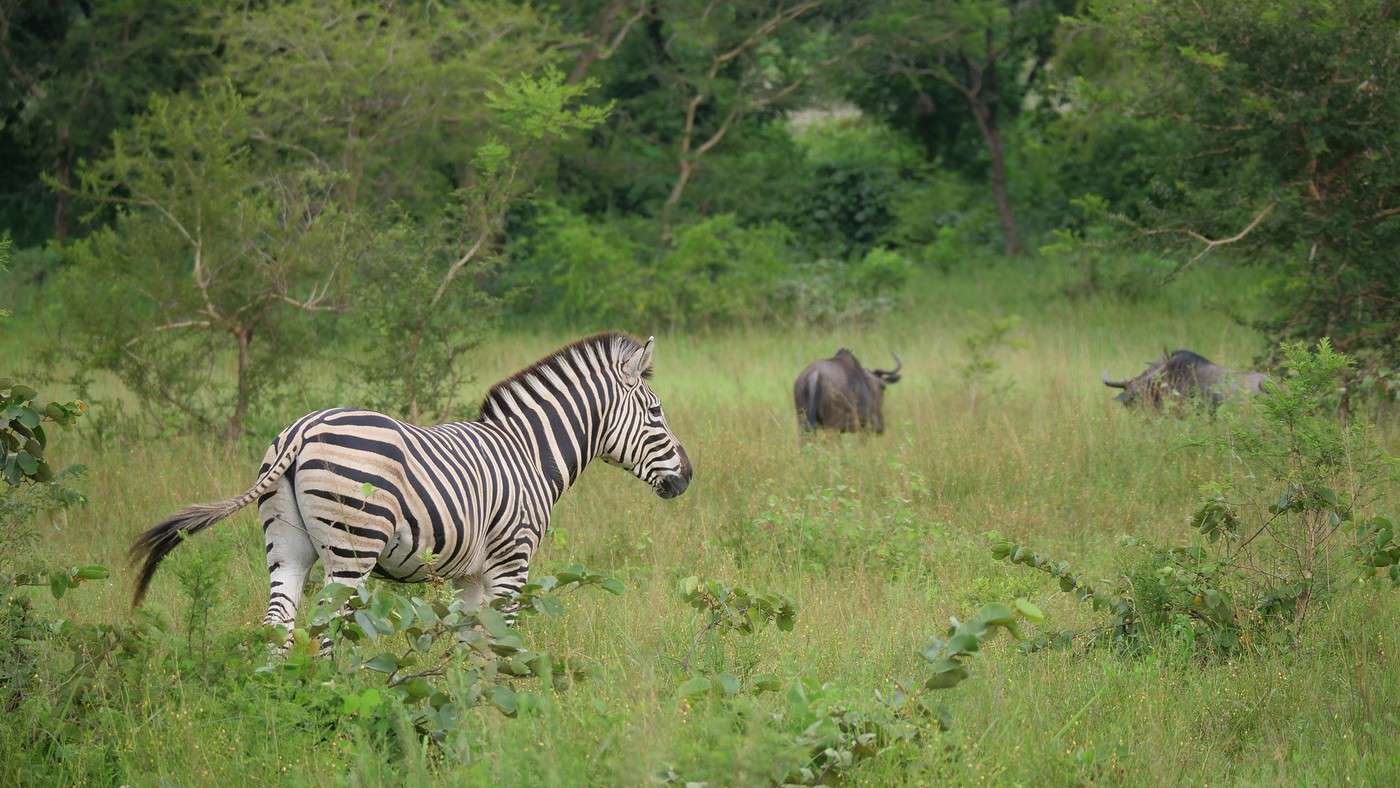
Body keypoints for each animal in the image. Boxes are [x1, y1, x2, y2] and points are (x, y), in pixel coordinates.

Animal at [133, 333, 691, 646]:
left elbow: (470, 643)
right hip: (351, 547)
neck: (528, 451)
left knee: (278, 623)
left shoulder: (471, 573)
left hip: (286, 545)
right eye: (656, 411)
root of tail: (301, 431)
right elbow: (504, 639)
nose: (686, 477)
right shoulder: (513, 558)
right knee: (326, 625)